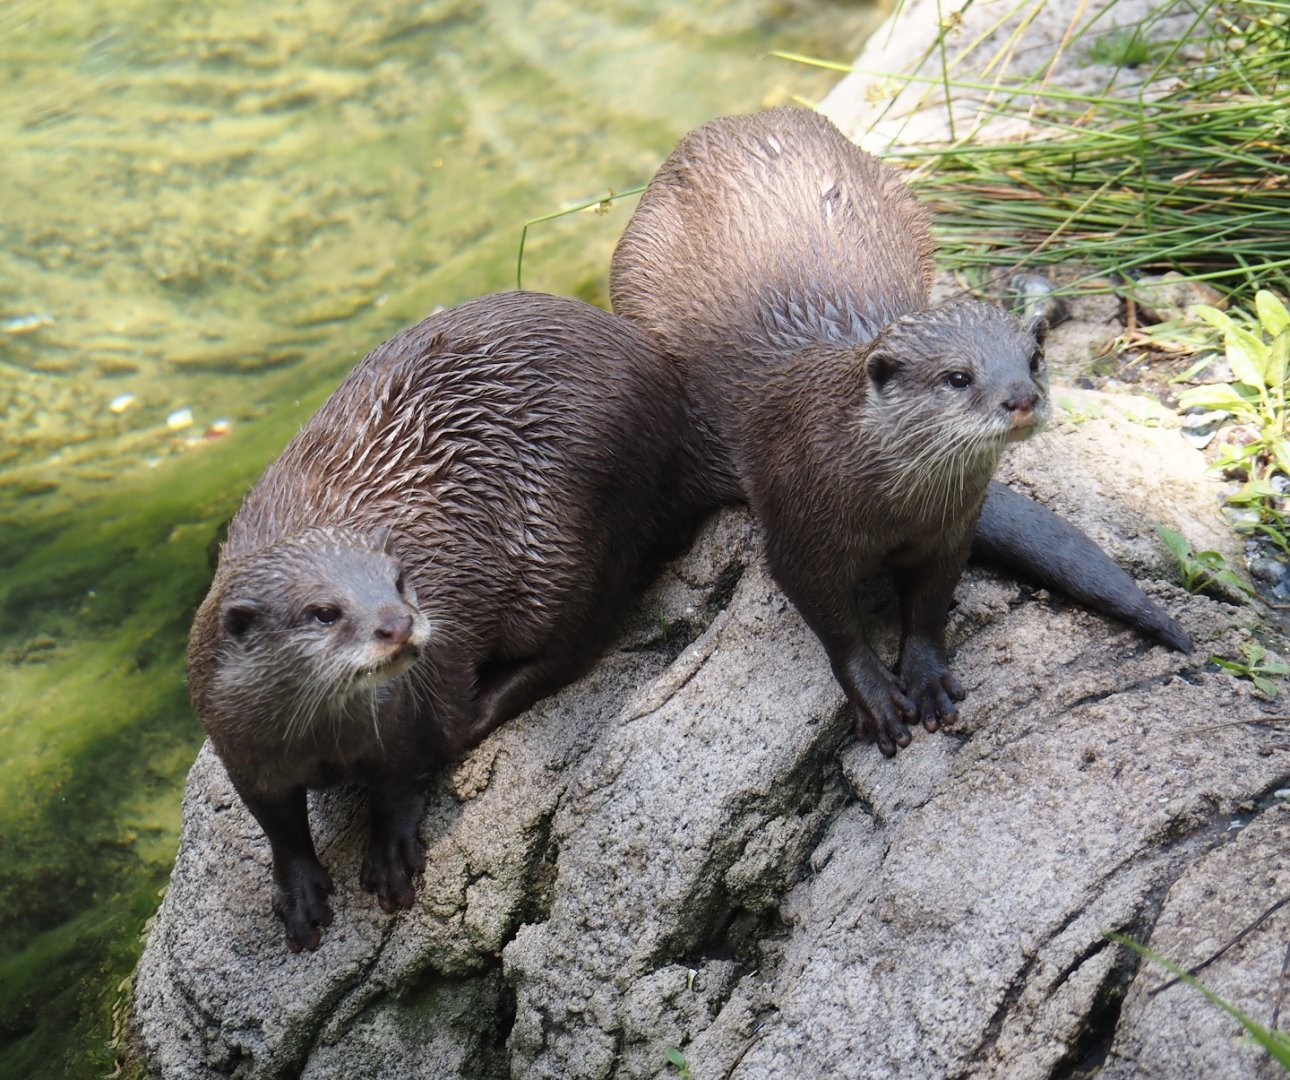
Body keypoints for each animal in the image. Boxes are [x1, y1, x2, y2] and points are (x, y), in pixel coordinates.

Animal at [188, 291, 715, 951]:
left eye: (399, 580)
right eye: (324, 612)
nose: (398, 623)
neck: (321, 741)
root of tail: (671, 391)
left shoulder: (404, 716)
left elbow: (402, 776)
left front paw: (389, 852)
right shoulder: (239, 745)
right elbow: (277, 824)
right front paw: (300, 892)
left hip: (575, 532)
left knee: (582, 633)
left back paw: (484, 706)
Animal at [609, 106, 1190, 757]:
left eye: (1035, 358)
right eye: (958, 377)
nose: (1022, 397)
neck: (893, 507)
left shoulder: (951, 530)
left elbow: (932, 605)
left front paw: (926, 676)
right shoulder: (797, 535)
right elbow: (835, 626)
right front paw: (876, 698)